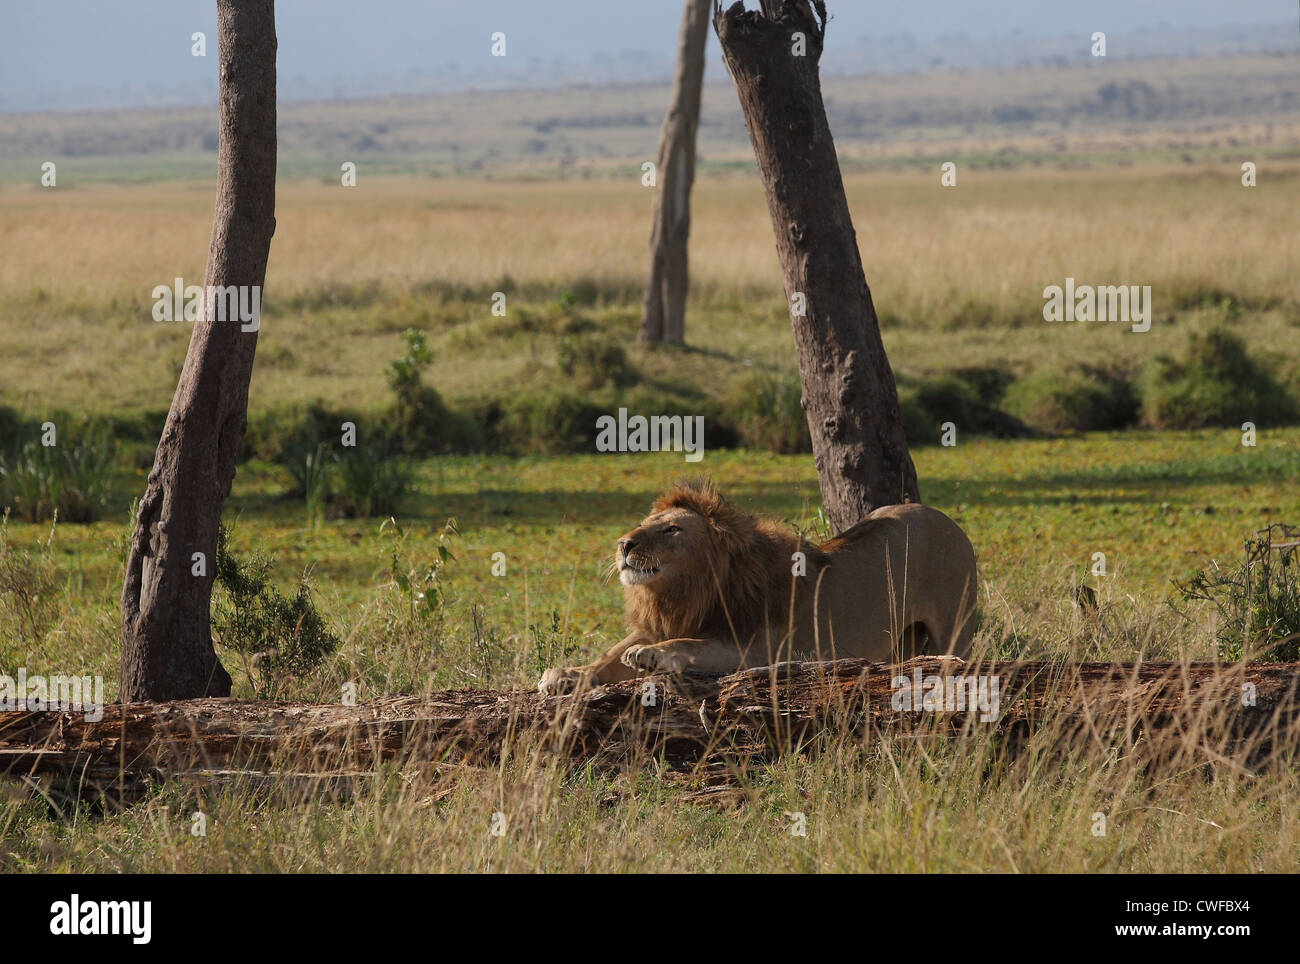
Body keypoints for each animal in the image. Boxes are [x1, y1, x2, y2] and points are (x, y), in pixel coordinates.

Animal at [537, 479, 978, 695]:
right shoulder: (663, 621)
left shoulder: (755, 652)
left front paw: (649, 656)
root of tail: (946, 519)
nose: (623, 544)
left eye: (671, 529)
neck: (686, 593)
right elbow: (607, 657)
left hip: (954, 626)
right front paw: (565, 674)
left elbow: (687, 646)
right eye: (646, 524)